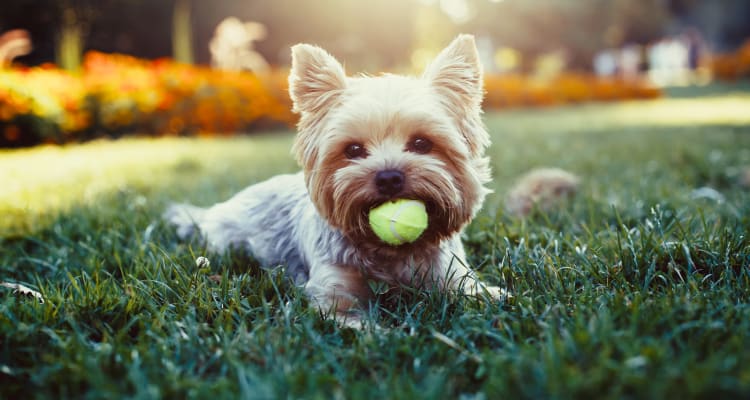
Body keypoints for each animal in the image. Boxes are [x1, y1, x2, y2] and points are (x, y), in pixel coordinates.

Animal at [164, 34, 506, 326]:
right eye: (353, 150)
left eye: (422, 143)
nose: (389, 177)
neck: (389, 252)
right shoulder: (333, 291)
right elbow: (352, 321)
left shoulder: (449, 273)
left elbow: (477, 292)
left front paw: (494, 296)